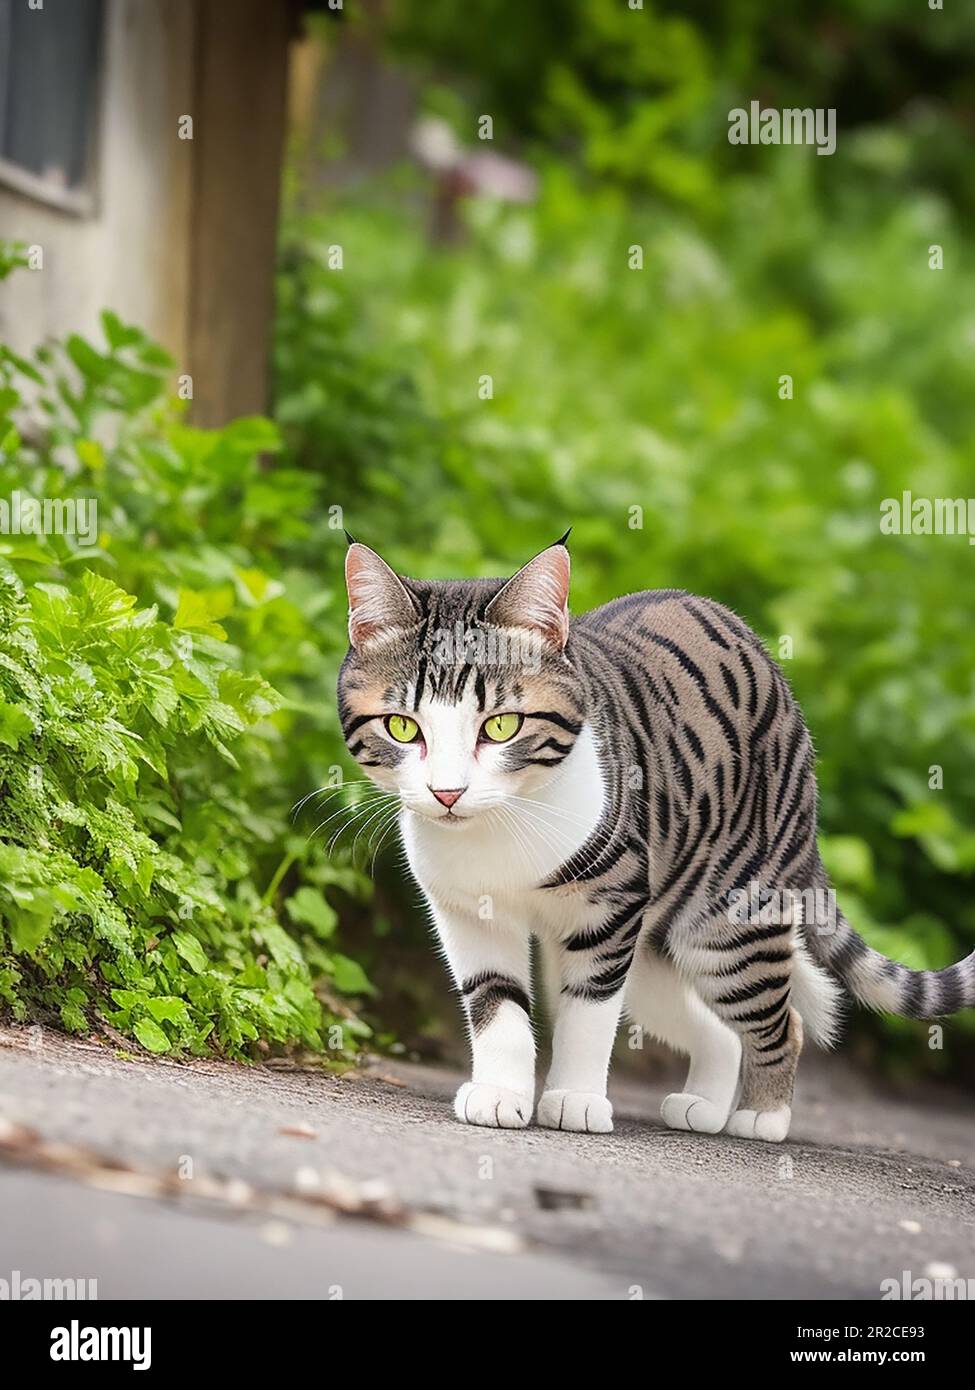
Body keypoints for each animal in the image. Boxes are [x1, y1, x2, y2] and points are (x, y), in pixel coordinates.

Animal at [336, 533, 973, 1139]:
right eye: (402, 727)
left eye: (500, 726)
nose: (447, 793)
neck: (500, 828)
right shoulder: (469, 912)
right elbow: (497, 1005)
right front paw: (501, 1095)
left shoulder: (610, 911)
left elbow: (589, 1014)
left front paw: (576, 1100)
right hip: (653, 952)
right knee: (719, 1029)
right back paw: (704, 1107)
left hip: (724, 927)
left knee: (780, 1019)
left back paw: (761, 1117)